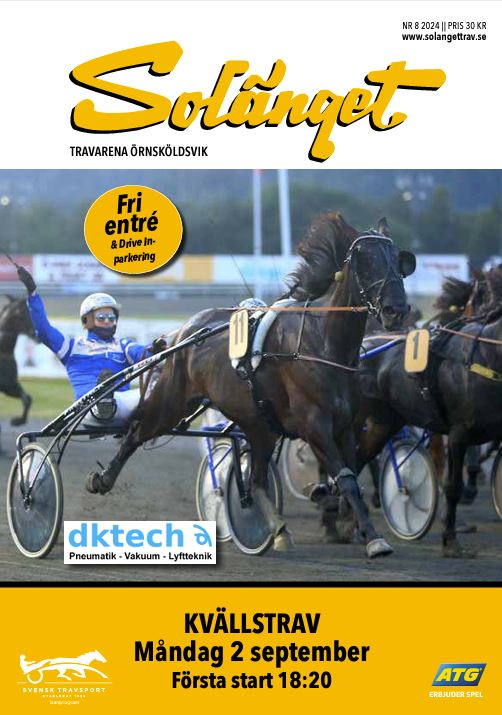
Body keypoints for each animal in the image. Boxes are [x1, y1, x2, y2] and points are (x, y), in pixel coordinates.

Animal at [86, 212, 416, 559]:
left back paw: (278, 529)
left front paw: (343, 517)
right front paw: (373, 538)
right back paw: (103, 479)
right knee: (137, 432)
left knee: (256, 481)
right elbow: (348, 479)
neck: (322, 342)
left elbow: (351, 476)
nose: (396, 310)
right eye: (364, 260)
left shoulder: (345, 425)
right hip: (172, 402)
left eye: (398, 259)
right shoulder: (314, 425)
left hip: (259, 425)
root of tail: (182, 332)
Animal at [354, 267, 502, 557]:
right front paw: (450, 540)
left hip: (384, 423)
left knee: (357, 460)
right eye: (484, 295)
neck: (488, 356)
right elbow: (452, 487)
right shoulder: (458, 433)